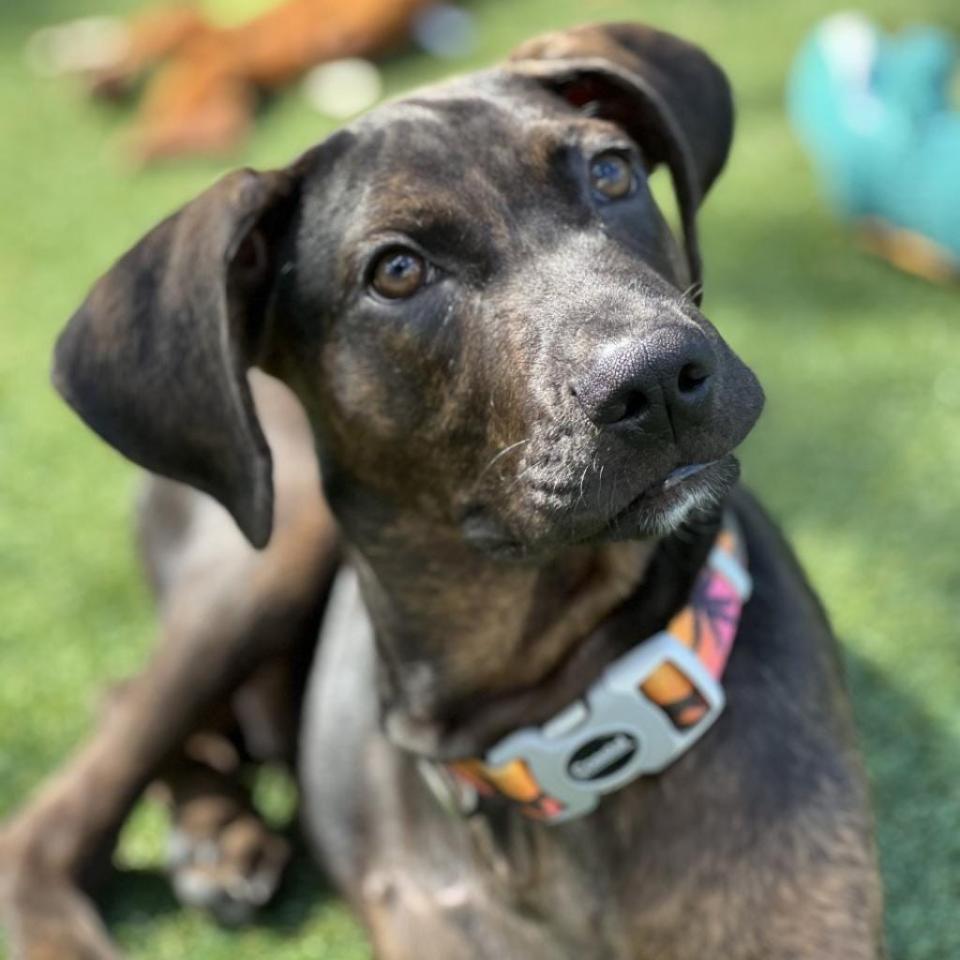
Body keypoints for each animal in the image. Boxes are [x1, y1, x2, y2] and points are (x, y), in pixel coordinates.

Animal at [0, 20, 884, 960]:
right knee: (63, 797)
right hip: (270, 551)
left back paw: (219, 832)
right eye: (396, 271)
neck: (550, 725)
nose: (658, 377)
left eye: (611, 172)